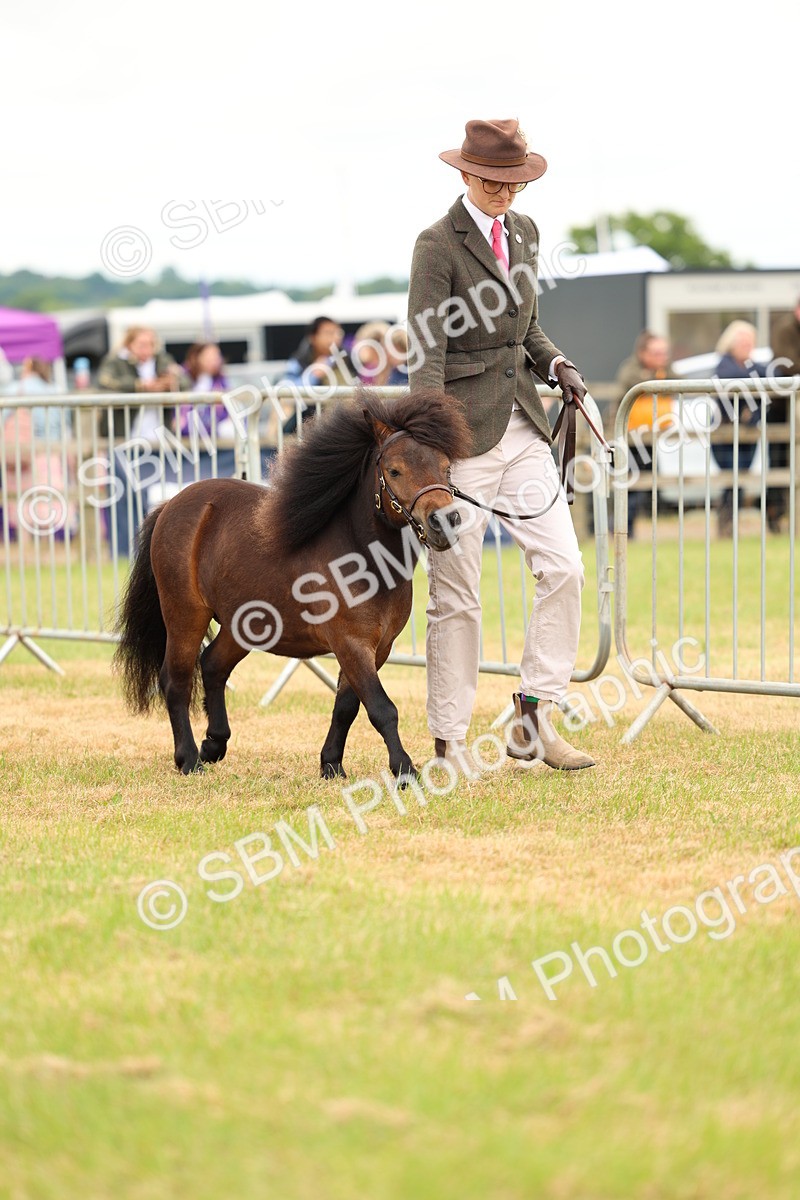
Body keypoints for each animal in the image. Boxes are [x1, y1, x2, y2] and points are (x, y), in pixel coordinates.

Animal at [113, 388, 471, 779]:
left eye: (446, 468)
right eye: (394, 470)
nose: (445, 522)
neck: (362, 555)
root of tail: (172, 504)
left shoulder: (378, 648)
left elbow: (346, 706)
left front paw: (331, 765)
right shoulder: (351, 643)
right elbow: (381, 708)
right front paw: (405, 771)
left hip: (244, 626)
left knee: (212, 665)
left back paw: (214, 744)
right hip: (184, 615)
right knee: (175, 680)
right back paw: (189, 759)